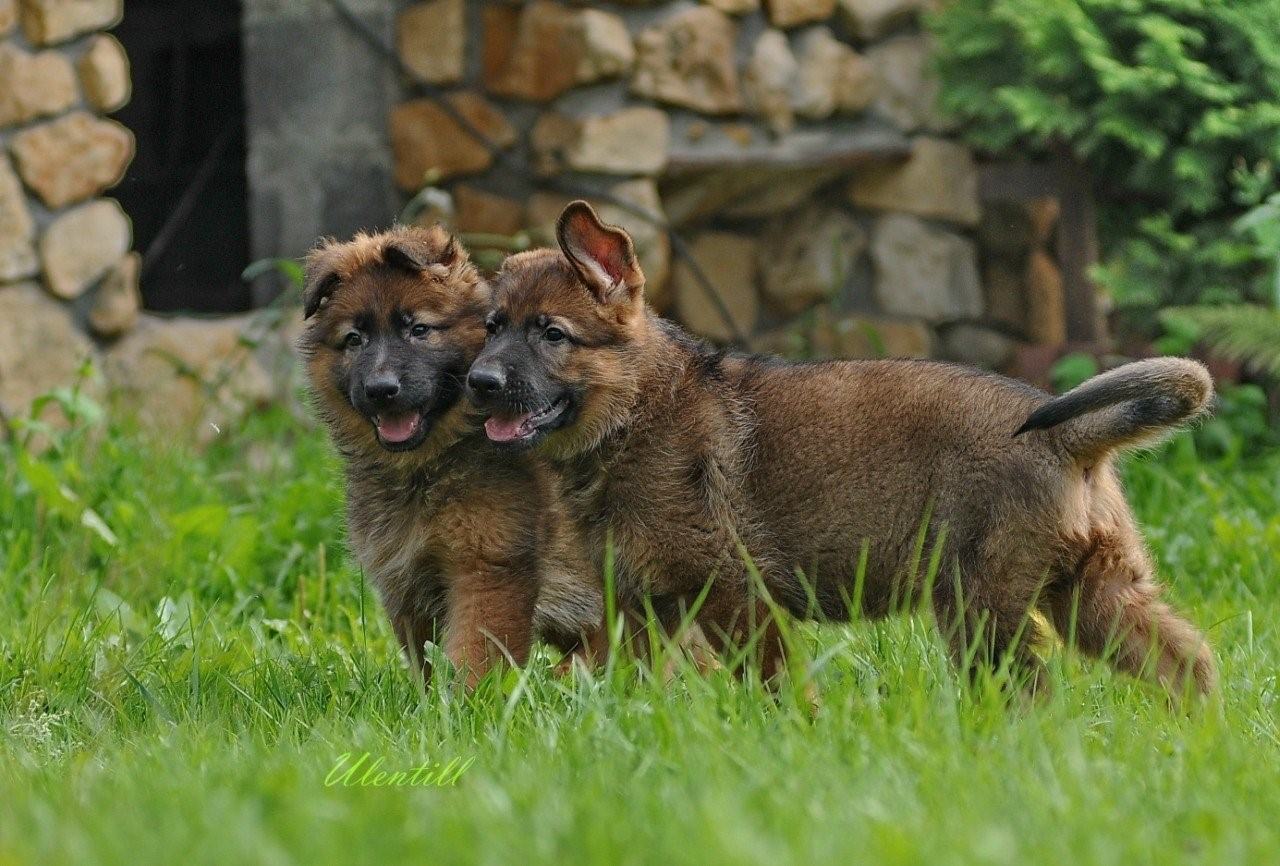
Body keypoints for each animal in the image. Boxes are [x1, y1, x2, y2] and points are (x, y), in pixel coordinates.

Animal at [299, 222, 604, 690]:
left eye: (419, 330)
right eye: (354, 339)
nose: (381, 389)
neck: (427, 466)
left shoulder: (489, 571)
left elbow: (474, 658)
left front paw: (468, 703)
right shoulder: (405, 584)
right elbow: (425, 664)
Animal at [471, 200, 1218, 695]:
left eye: (552, 334)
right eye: (492, 327)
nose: (478, 383)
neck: (635, 412)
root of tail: (1065, 435)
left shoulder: (733, 594)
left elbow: (769, 685)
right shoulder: (637, 607)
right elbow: (631, 685)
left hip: (982, 603)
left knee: (1027, 691)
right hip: (1090, 588)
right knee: (1185, 660)